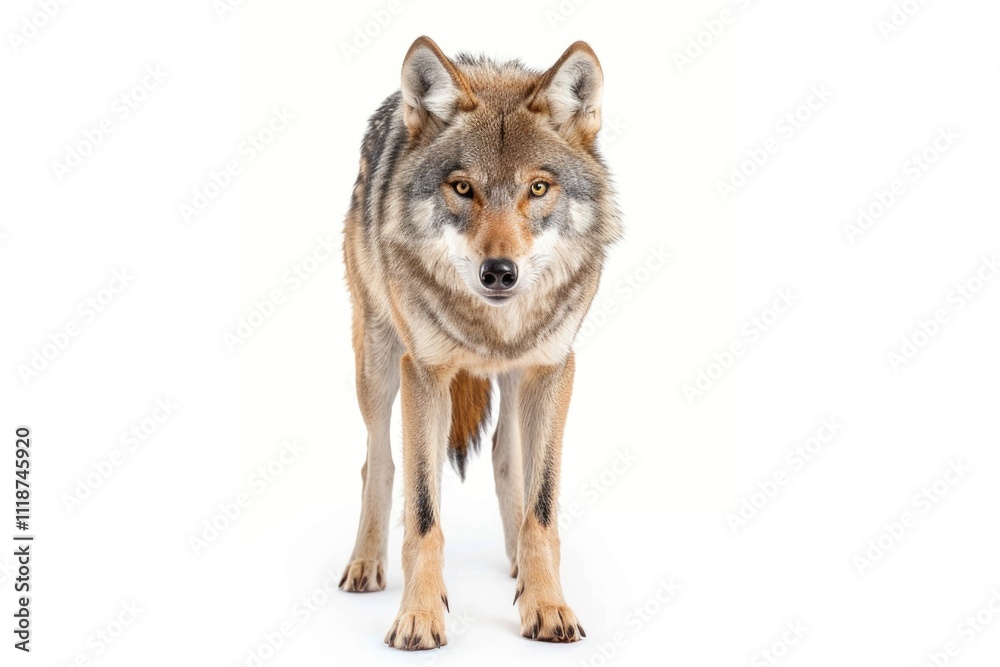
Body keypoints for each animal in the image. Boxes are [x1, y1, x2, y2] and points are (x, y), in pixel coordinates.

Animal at [339, 35, 621, 649]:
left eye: (537, 188)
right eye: (463, 188)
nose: (499, 272)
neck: (492, 328)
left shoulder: (553, 370)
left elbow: (542, 508)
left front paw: (547, 605)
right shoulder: (425, 373)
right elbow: (424, 515)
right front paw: (419, 617)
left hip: (514, 386)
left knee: (504, 458)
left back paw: (518, 567)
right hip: (377, 364)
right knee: (378, 463)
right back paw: (366, 565)